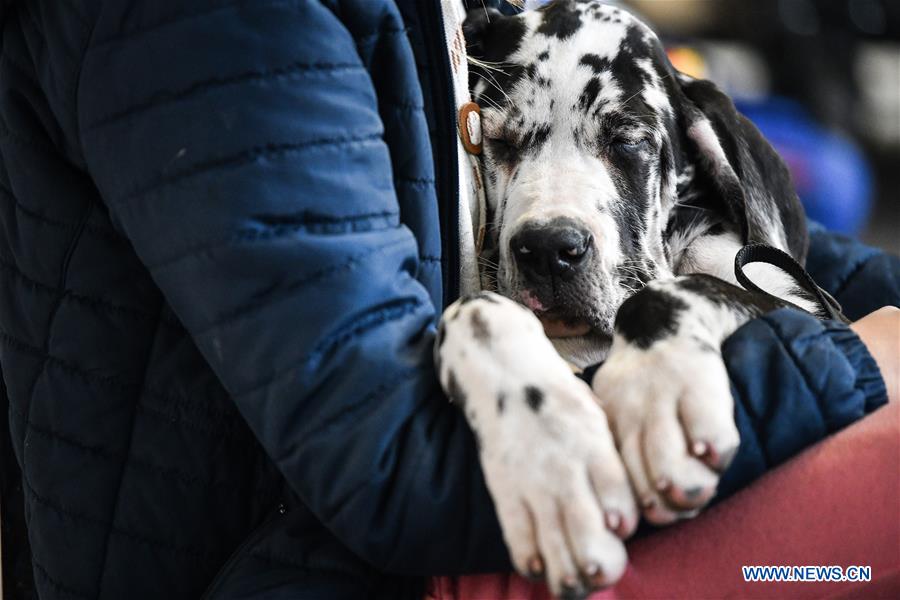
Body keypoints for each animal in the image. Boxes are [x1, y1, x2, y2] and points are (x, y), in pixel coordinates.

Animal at [432, 2, 828, 596]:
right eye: (497, 140)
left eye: (626, 142)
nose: (549, 249)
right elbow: (474, 310)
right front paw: (550, 460)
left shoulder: (805, 311)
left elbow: (672, 291)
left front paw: (656, 390)